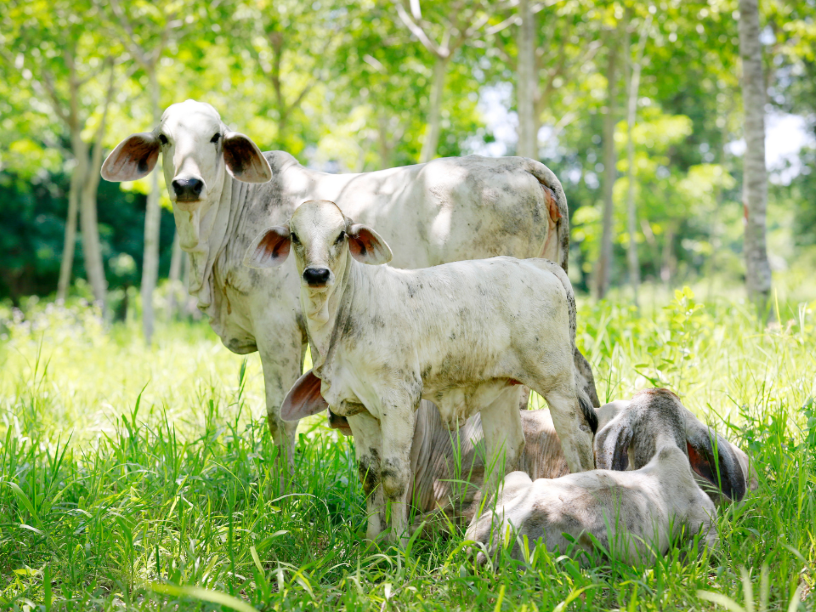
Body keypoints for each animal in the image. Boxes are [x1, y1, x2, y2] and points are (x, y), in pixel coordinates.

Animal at [102, 99, 600, 478]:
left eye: (214, 138)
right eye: (165, 139)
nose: (187, 184)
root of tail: (521, 165)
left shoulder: (278, 330)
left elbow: (278, 417)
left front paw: (280, 491)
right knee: (583, 384)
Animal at [245, 198, 596, 544]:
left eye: (341, 235)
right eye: (294, 236)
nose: (316, 274)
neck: (344, 315)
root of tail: (540, 266)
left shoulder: (399, 399)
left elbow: (394, 475)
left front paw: (398, 543)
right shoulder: (356, 406)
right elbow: (368, 474)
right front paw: (371, 541)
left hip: (556, 383)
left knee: (577, 437)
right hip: (500, 389)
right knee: (505, 453)